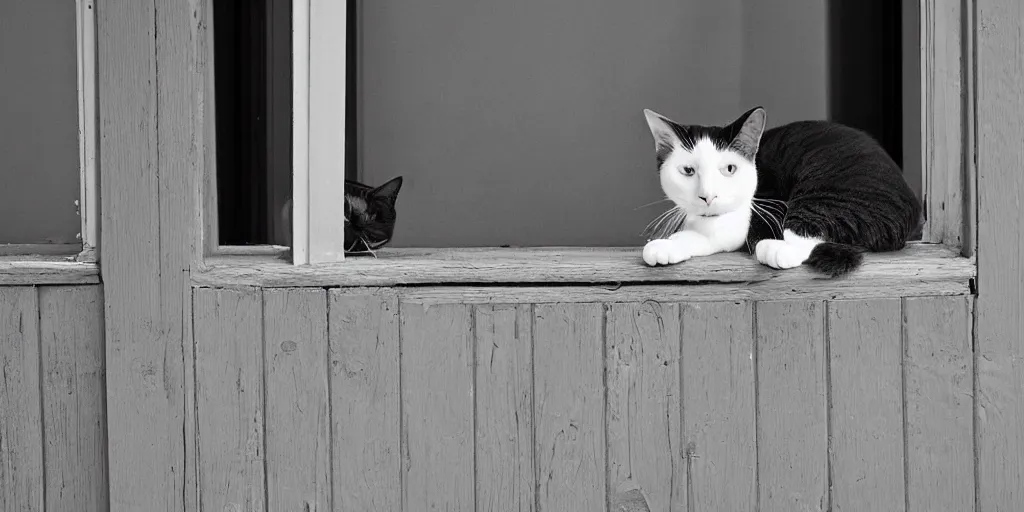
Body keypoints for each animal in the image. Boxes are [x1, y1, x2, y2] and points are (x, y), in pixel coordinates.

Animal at [638, 106, 921, 276]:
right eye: (688, 171)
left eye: (729, 169)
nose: (708, 196)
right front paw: (666, 243)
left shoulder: (737, 225)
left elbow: (708, 238)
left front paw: (666, 244)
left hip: (827, 193)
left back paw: (774, 249)